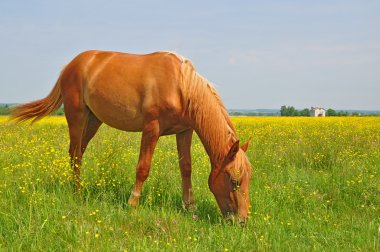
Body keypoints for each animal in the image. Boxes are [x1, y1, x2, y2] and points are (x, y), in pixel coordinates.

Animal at [11, 50, 252, 223]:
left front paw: (189, 206)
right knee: (75, 155)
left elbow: (186, 168)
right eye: (234, 180)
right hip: (76, 116)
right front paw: (132, 204)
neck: (181, 86)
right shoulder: (151, 129)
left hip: (93, 120)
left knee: (77, 152)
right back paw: (77, 193)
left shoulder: (184, 131)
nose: (241, 221)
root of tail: (70, 65)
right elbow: (143, 167)